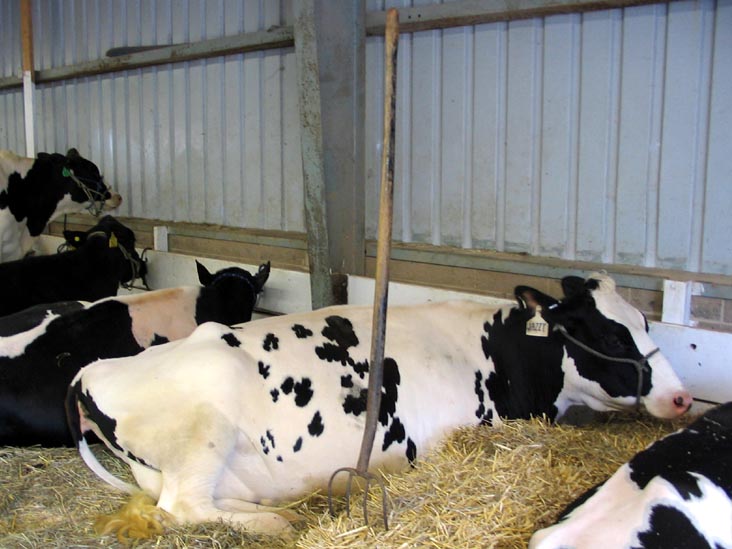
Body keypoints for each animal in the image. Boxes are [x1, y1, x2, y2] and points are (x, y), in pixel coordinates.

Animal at [67, 272, 692, 537]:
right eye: (610, 335)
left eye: (646, 321)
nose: (682, 397)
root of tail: (91, 371)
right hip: (201, 436)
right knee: (182, 506)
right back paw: (274, 524)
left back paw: (283, 512)